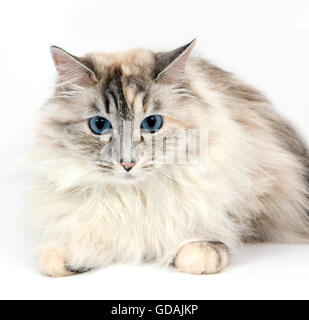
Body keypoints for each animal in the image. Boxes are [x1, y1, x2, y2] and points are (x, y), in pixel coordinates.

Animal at [30, 39, 308, 276]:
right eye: (99, 125)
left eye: (152, 123)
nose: (127, 164)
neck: (132, 197)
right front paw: (69, 257)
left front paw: (200, 254)